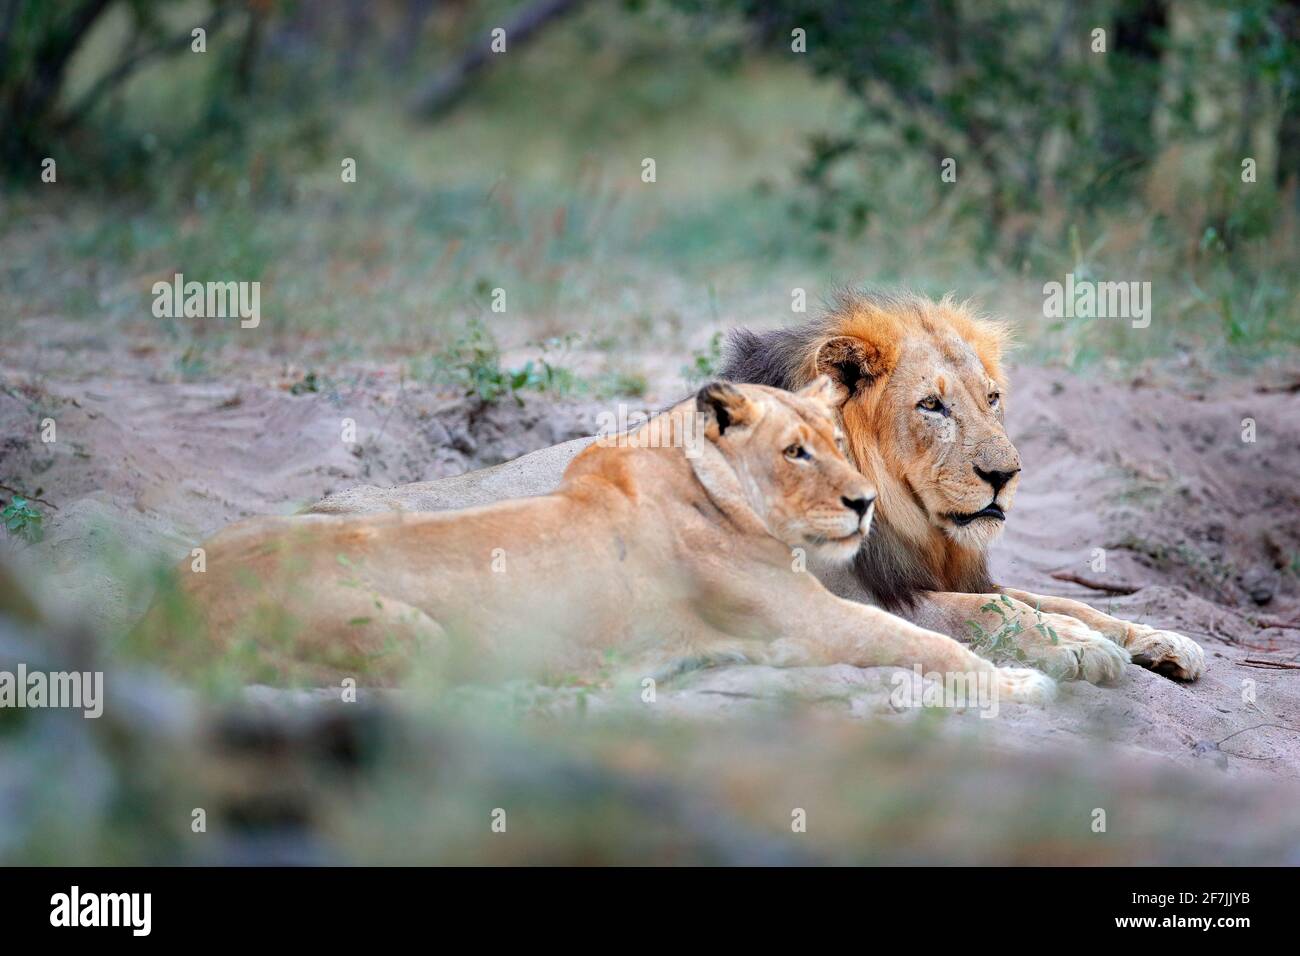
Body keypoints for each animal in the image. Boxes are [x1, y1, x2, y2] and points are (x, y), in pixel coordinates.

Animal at [144, 379, 1055, 702]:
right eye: (796, 452)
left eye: (838, 443)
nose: (865, 503)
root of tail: (157, 615)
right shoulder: (807, 617)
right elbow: (927, 643)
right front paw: (1020, 683)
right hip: (410, 631)